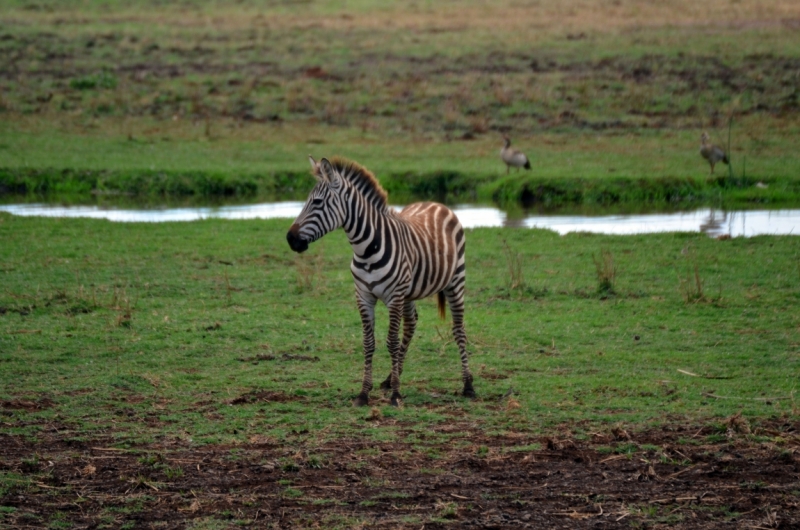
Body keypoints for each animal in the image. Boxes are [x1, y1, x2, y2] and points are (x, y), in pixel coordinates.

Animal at [288, 156, 476, 404]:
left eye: (317, 202)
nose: (290, 238)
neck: (366, 250)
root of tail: (437, 204)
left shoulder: (394, 297)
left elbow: (392, 342)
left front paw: (396, 394)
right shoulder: (364, 297)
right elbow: (369, 343)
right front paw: (364, 393)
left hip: (456, 280)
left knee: (458, 328)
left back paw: (468, 385)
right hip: (410, 292)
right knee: (411, 324)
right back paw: (390, 378)